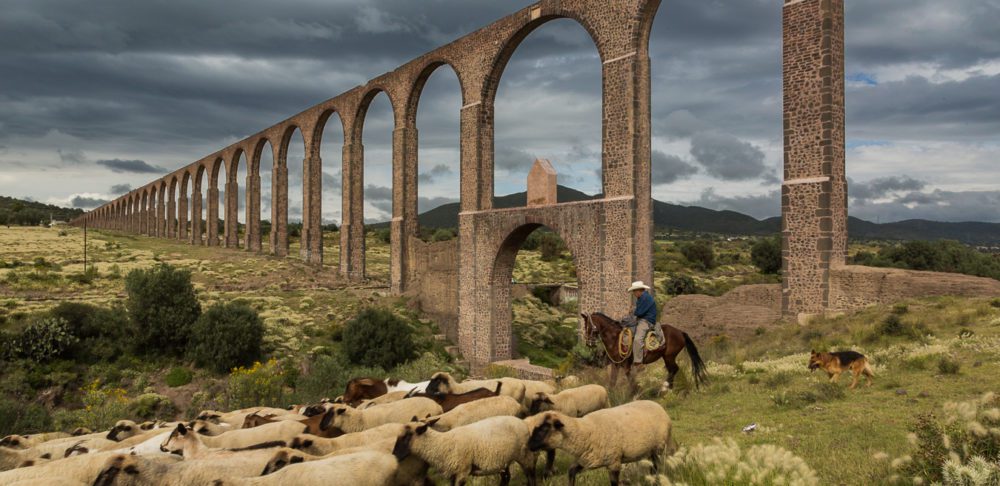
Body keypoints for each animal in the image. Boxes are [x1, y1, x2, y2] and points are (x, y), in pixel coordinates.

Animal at [388, 414, 536, 486]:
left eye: (407, 437)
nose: (394, 454)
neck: (441, 445)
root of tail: (523, 422)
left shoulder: (462, 471)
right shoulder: (453, 473)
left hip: (524, 454)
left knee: (530, 475)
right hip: (504, 459)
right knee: (506, 478)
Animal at [580, 316, 712, 392]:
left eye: (587, 326)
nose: (589, 343)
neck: (615, 337)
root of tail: (680, 332)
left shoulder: (625, 364)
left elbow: (629, 378)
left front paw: (635, 391)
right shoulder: (615, 364)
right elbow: (612, 381)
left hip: (669, 356)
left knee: (674, 369)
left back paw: (665, 387)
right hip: (667, 357)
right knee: (672, 370)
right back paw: (669, 388)